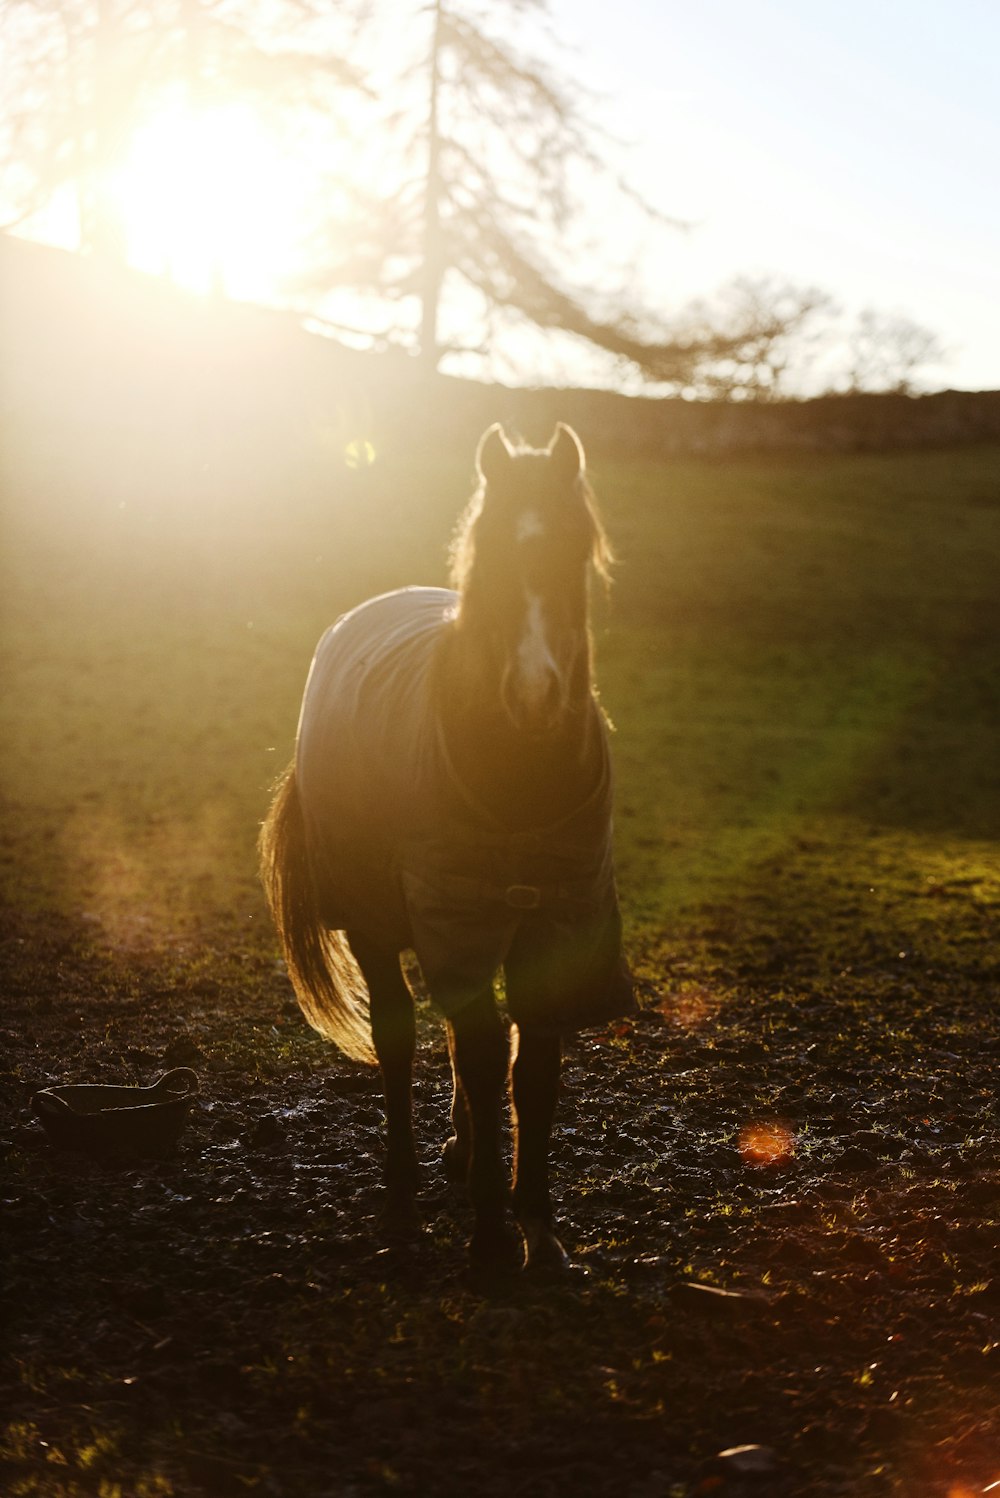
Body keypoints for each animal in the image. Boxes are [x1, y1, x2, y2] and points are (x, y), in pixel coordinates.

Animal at [257, 425, 631, 1276]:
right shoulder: (450, 916)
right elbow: (486, 1058)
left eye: (575, 552)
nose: (534, 696)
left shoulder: (553, 923)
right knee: (401, 1038)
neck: (520, 782)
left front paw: (537, 1227)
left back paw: (459, 1153)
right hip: (373, 918)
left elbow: (532, 1070)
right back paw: (402, 1189)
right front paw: (493, 1234)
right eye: (486, 557)